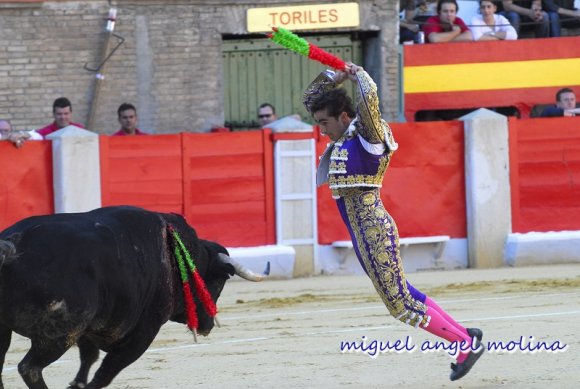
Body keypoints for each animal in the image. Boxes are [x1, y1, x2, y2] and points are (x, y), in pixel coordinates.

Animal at [0, 205, 268, 386]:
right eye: (220, 282)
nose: (207, 326)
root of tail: (14, 242)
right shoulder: (143, 332)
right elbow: (105, 372)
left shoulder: (90, 328)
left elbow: (89, 359)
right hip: (58, 333)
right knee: (30, 368)